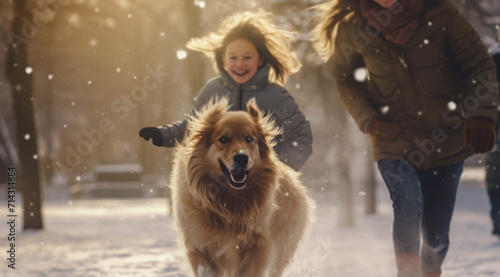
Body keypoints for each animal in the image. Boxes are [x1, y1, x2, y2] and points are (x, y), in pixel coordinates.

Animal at [170, 98, 314, 274]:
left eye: (249, 139)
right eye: (223, 139)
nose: (241, 157)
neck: (229, 203)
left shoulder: (258, 243)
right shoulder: (198, 244)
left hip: (282, 250)